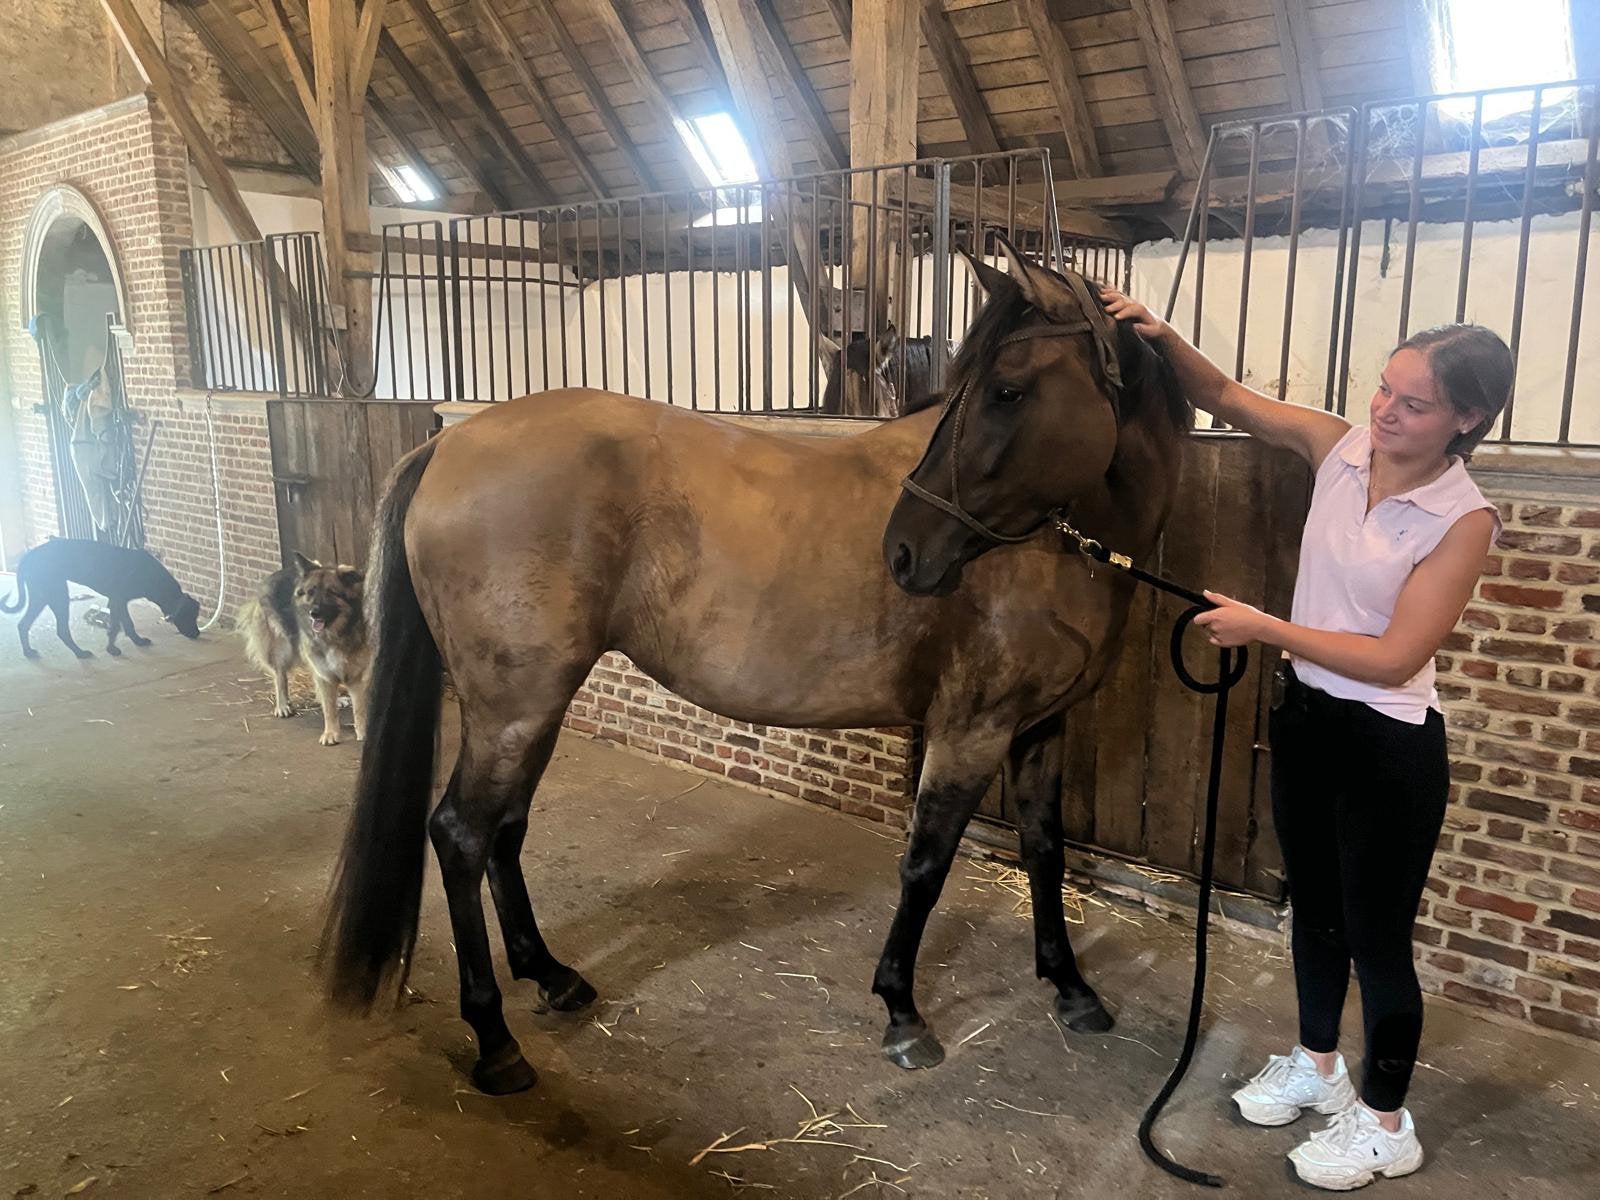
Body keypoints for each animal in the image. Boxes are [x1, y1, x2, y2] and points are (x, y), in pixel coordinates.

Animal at [319, 237, 1192, 1095]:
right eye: (971, 389)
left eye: (1007, 390)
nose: (905, 552)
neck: (1049, 551)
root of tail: (450, 439)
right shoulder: (971, 730)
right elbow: (926, 863)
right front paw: (902, 1011)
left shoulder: (1042, 726)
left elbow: (1046, 850)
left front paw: (1071, 988)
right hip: (514, 706)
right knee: (462, 834)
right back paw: (496, 1041)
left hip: (532, 707)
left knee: (504, 829)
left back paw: (552, 977)